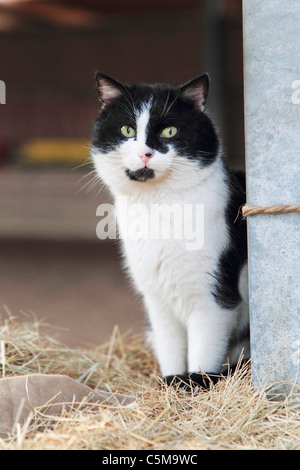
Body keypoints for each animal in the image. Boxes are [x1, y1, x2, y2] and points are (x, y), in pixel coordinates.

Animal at [91, 74, 248, 390]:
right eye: (127, 130)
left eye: (170, 131)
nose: (145, 154)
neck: (158, 206)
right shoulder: (156, 297)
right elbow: (170, 345)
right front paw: (172, 382)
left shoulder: (214, 296)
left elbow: (204, 348)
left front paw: (196, 383)